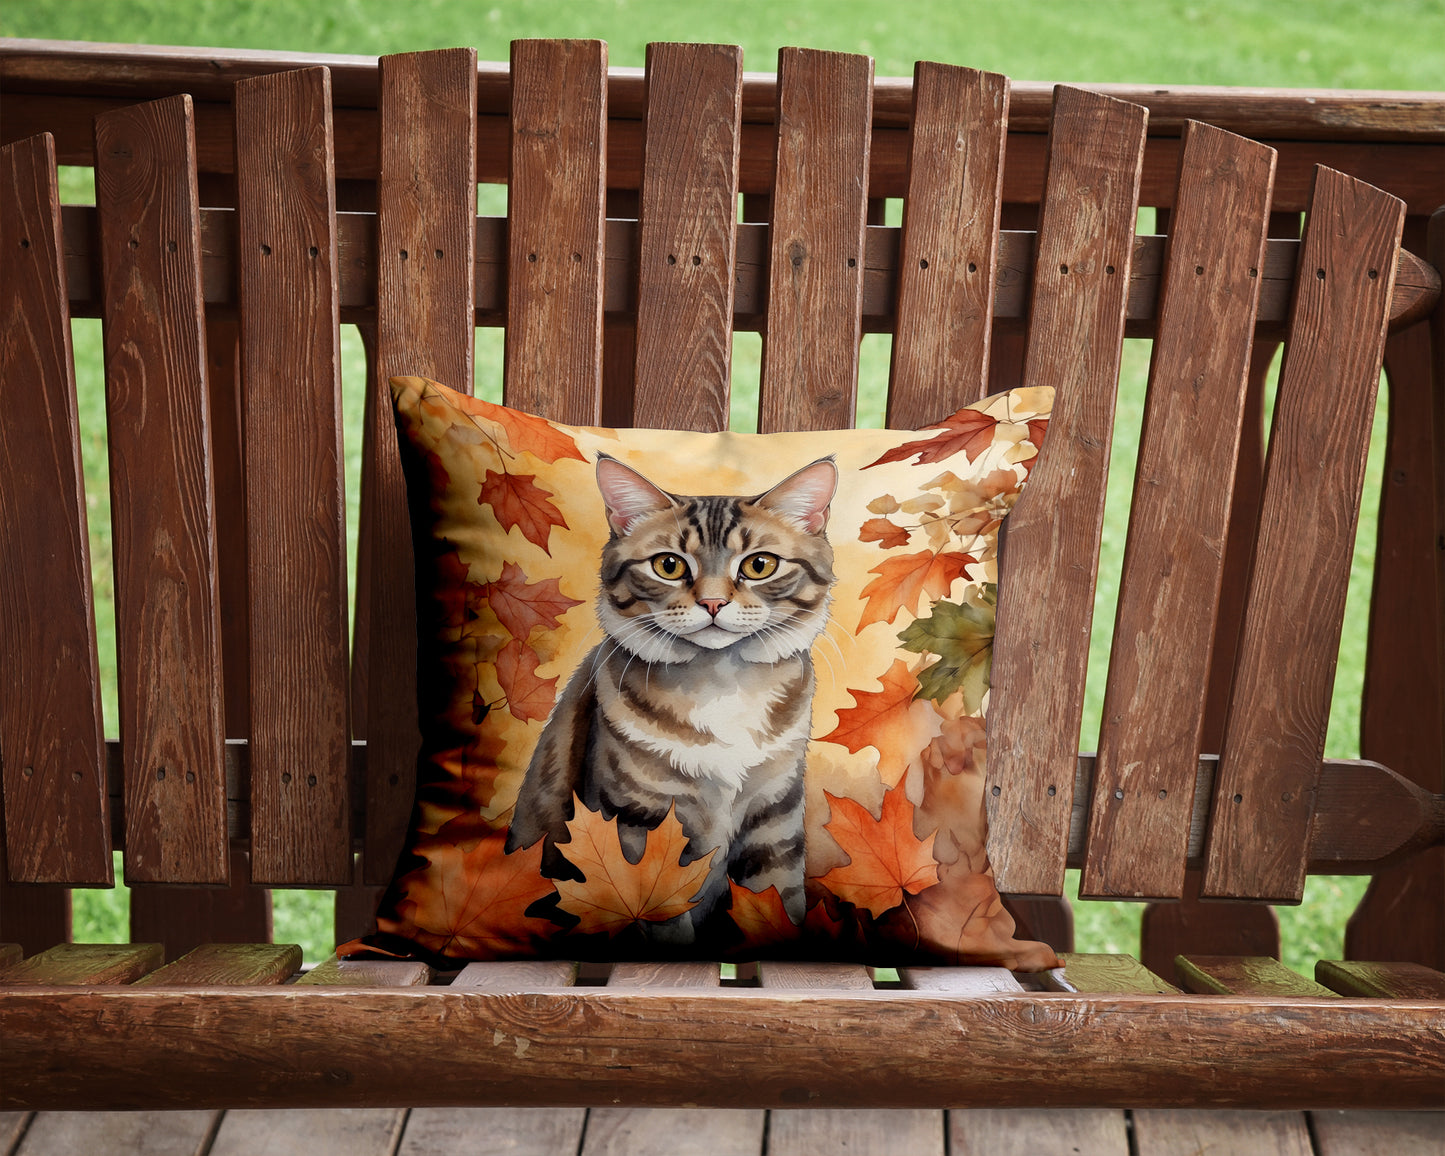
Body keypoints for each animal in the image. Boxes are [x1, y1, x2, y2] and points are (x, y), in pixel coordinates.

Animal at [508, 450, 843, 936]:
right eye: (669, 565)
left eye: (759, 565)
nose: (713, 603)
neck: (722, 684)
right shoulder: (637, 823)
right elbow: (665, 918)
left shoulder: (774, 818)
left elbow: (781, 900)